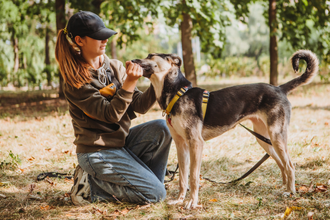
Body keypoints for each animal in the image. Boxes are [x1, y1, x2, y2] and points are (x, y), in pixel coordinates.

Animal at [131, 50, 318, 210]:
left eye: (150, 55)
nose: (132, 61)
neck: (177, 94)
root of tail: (279, 88)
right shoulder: (181, 145)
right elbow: (183, 178)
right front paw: (179, 200)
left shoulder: (196, 143)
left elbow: (193, 178)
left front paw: (192, 203)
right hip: (264, 139)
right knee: (282, 164)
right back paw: (285, 188)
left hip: (276, 136)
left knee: (290, 165)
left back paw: (291, 192)